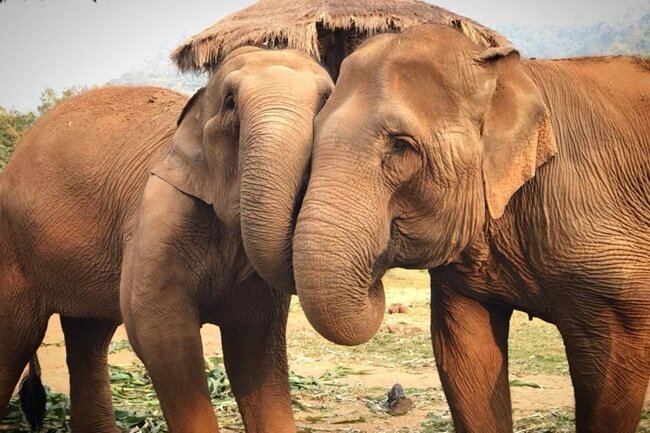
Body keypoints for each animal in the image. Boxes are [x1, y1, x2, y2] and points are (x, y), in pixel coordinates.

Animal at [0, 46, 332, 432]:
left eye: (326, 102)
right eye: (230, 103)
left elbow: (255, 345)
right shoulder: (155, 221)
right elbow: (162, 336)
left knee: (88, 336)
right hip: (11, 250)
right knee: (16, 338)